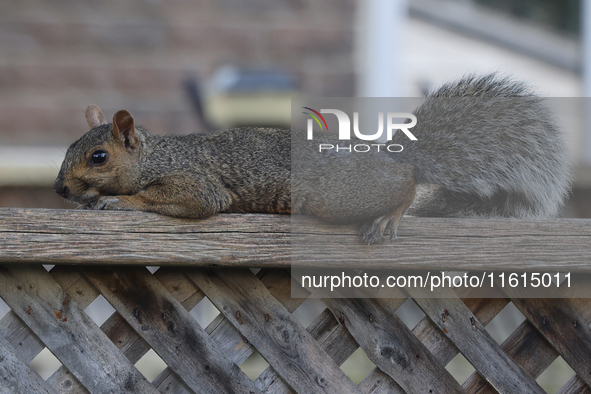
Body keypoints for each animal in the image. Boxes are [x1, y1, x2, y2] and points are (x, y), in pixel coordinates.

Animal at [53, 72, 572, 242]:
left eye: (98, 157)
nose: (59, 188)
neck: (154, 156)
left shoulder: (194, 180)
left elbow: (191, 200)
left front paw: (115, 201)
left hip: (335, 194)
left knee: (403, 184)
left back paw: (389, 215)